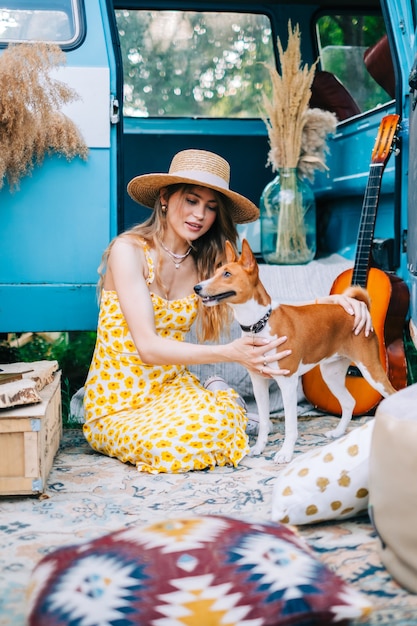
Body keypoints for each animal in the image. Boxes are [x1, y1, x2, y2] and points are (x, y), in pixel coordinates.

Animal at [193, 236, 394, 460]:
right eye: (215, 272)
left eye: (227, 274)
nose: (197, 287)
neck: (259, 324)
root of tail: (358, 309)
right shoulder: (259, 382)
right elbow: (264, 421)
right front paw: (259, 448)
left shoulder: (287, 383)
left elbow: (290, 425)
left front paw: (285, 453)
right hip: (331, 374)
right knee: (349, 402)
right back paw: (338, 433)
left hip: (372, 372)